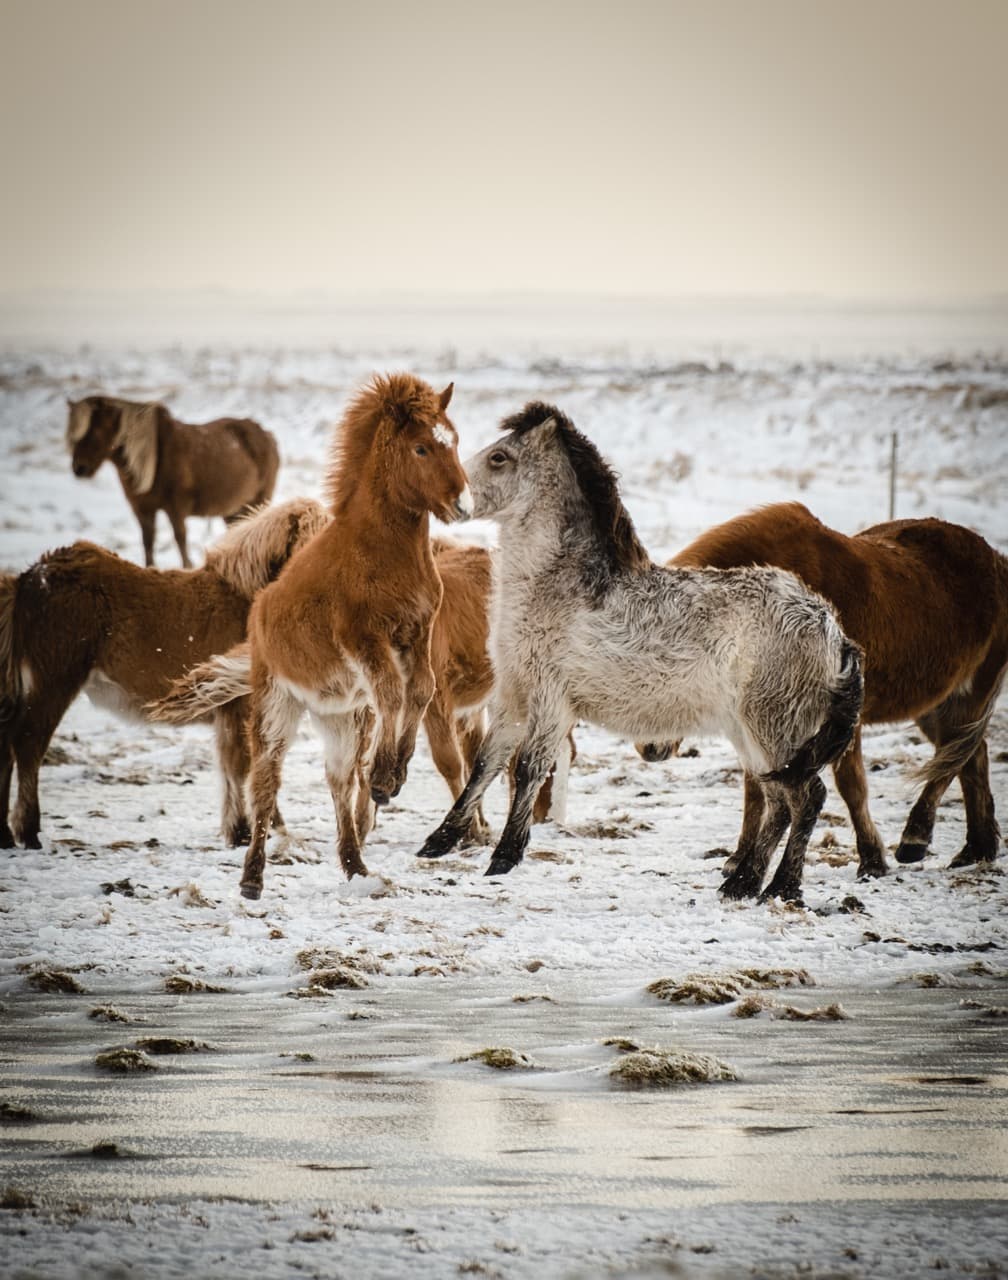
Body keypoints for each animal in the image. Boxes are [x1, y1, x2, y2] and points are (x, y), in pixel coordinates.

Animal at [0, 498, 328, 852]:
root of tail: (29, 579)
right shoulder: (239, 708)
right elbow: (243, 767)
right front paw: (247, 831)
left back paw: (6, 835)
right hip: (53, 682)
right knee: (28, 744)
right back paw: (29, 832)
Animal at [67, 395, 280, 567]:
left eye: (95, 431)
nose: (79, 468)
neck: (154, 459)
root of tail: (267, 435)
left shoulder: (176, 508)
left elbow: (180, 539)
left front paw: (187, 567)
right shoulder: (142, 509)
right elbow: (148, 542)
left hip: (258, 500)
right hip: (232, 509)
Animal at [154, 373, 471, 900]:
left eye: (456, 440)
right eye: (422, 447)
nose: (463, 505)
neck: (381, 553)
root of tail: (258, 613)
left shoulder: (417, 634)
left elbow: (420, 691)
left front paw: (392, 776)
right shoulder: (364, 640)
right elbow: (392, 692)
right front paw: (384, 775)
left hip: (340, 716)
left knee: (338, 782)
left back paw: (356, 868)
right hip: (276, 707)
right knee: (266, 783)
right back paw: (252, 879)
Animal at [415, 402, 864, 905]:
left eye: (499, 458)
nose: (454, 503)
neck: (560, 589)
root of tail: (832, 630)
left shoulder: (551, 700)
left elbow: (530, 768)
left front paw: (504, 858)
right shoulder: (513, 695)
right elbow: (485, 764)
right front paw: (438, 842)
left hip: (776, 727)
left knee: (806, 798)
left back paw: (780, 888)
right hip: (754, 733)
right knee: (778, 801)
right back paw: (742, 883)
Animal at [635, 502, 1008, 879]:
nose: (649, 748)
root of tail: (996, 559)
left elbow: (850, 786)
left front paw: (871, 859)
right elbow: (755, 788)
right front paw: (740, 859)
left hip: (968, 697)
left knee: (955, 757)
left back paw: (916, 839)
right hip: (935, 705)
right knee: (971, 758)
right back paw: (975, 849)